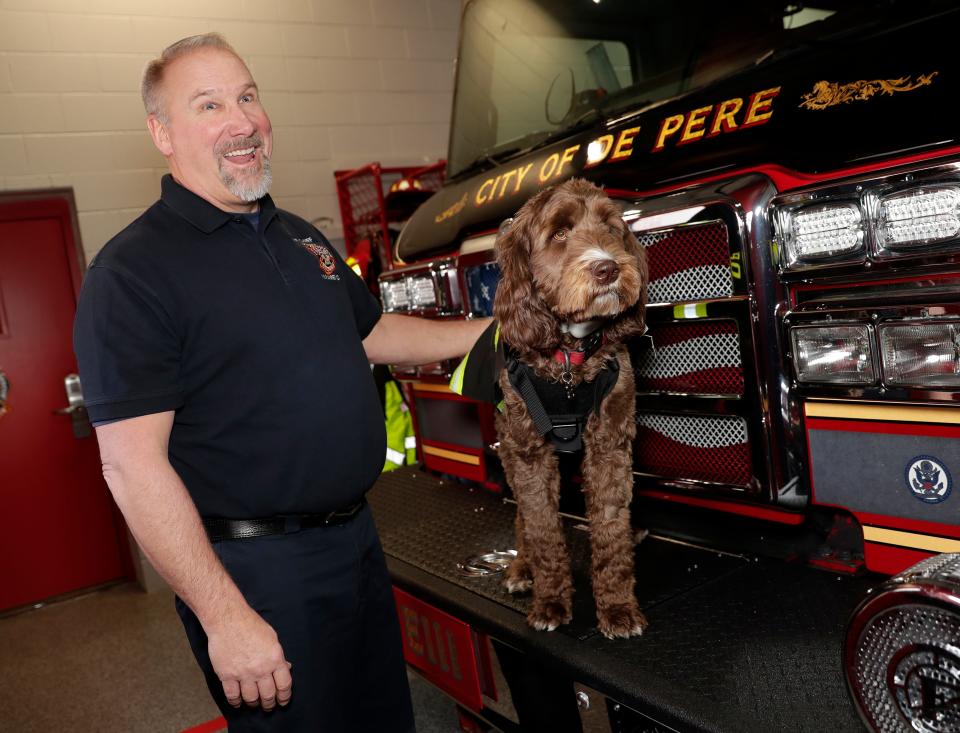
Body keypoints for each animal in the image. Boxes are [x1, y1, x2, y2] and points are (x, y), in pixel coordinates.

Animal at [496, 176, 644, 636]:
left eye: (611, 228)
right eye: (560, 233)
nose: (607, 268)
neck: (569, 357)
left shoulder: (610, 443)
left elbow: (611, 527)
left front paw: (617, 606)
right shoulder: (529, 452)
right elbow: (542, 527)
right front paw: (550, 601)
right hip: (507, 449)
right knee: (522, 519)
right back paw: (522, 568)